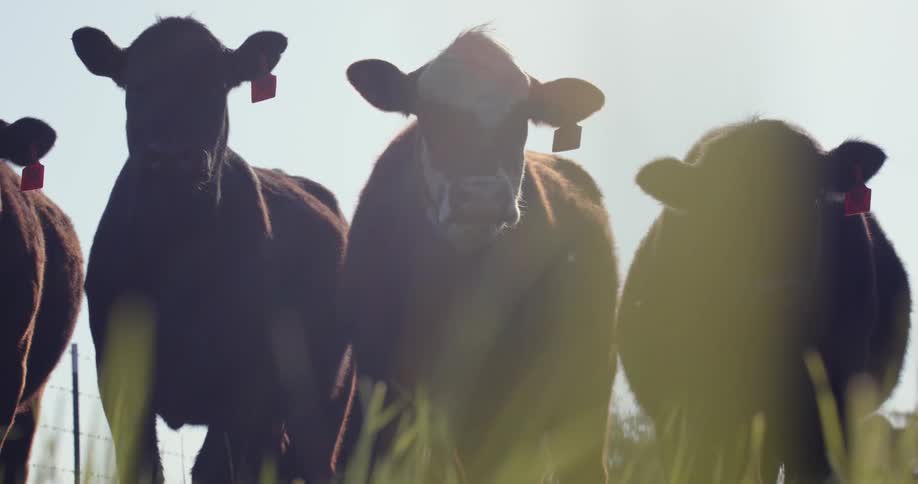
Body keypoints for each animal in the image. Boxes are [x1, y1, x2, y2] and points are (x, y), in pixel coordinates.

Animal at [71, 17, 355, 483]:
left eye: (217, 85)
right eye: (136, 83)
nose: (172, 156)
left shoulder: (247, 384)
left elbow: (215, 468)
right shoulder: (118, 374)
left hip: (327, 401)